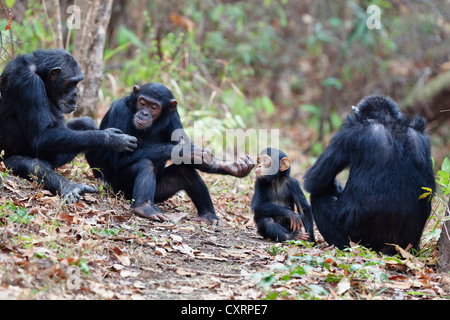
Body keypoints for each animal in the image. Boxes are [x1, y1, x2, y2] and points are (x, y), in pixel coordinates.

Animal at [0, 49, 138, 202]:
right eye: (73, 82)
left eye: (77, 82)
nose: (76, 93)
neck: (40, 73)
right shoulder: (29, 83)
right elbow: (41, 136)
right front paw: (111, 138)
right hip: (5, 162)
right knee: (32, 165)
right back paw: (70, 187)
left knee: (85, 127)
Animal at [86, 81, 255, 224]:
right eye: (142, 103)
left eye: (154, 107)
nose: (144, 113)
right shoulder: (119, 111)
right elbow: (117, 157)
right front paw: (186, 150)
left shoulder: (174, 116)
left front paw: (233, 166)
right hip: (117, 187)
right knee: (145, 164)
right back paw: (144, 208)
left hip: (158, 193)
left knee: (184, 172)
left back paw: (208, 215)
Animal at [302, 95, 436, 255]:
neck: (389, 122)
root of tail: (388, 248)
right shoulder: (423, 138)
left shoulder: (349, 132)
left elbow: (314, 181)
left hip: (354, 236)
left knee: (319, 198)